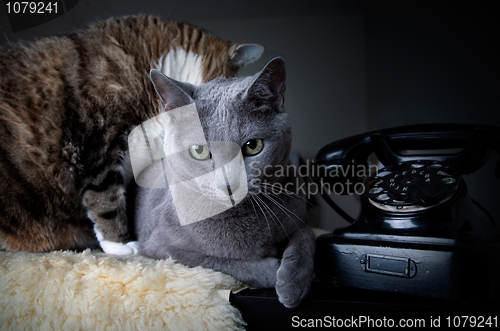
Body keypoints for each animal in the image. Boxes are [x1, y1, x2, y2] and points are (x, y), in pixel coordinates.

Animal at [131, 57, 314, 308]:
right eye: (198, 150)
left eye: (253, 146)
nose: (229, 185)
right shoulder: (160, 248)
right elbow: (217, 261)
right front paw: (273, 269)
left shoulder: (300, 215)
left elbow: (307, 237)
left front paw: (294, 282)